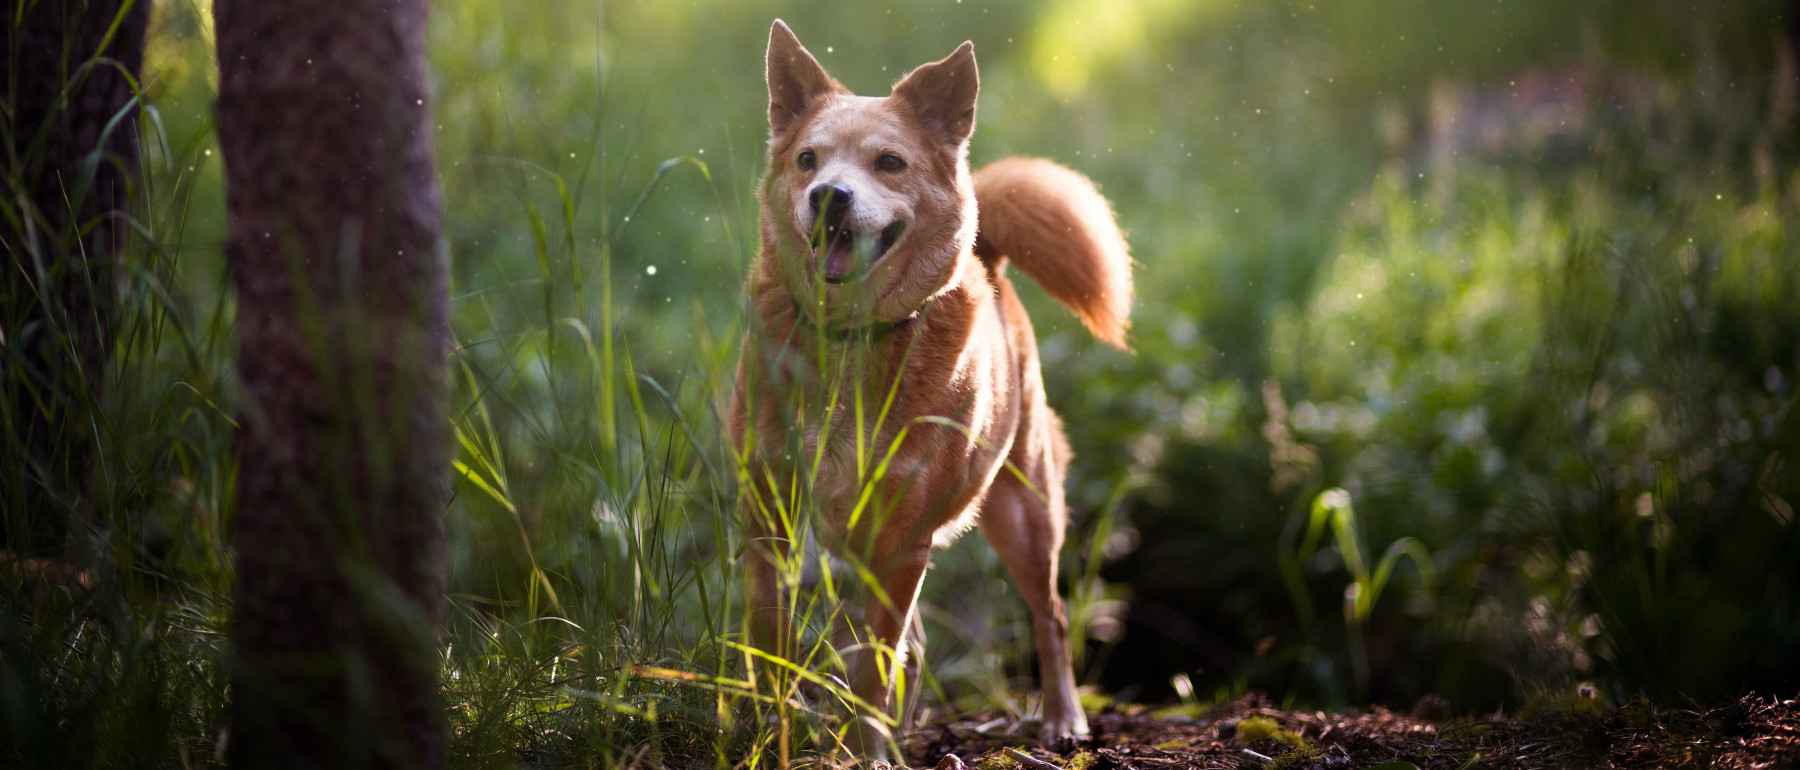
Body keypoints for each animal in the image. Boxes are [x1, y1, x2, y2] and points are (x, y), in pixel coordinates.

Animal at [727, 21, 1123, 759]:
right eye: (807, 160)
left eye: (889, 162)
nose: (829, 195)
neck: (850, 341)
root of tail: (989, 256)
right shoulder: (769, 510)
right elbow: (772, 632)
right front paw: (772, 728)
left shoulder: (903, 538)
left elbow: (876, 662)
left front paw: (868, 753)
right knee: (914, 638)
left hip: (1023, 514)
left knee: (1049, 616)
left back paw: (1061, 719)